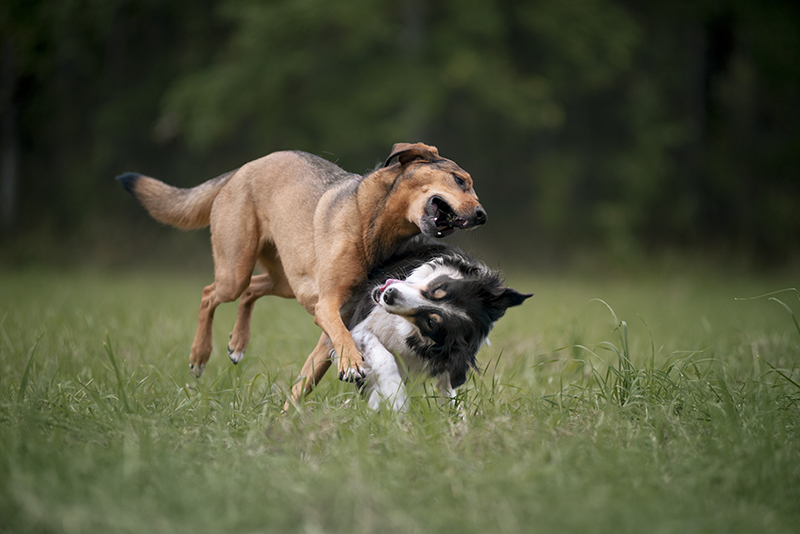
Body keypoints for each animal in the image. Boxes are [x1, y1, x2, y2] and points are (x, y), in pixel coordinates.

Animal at [115, 144, 484, 384]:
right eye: (460, 180)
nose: (482, 215)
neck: (372, 223)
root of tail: (244, 168)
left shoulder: (338, 305)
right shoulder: (328, 304)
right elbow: (340, 335)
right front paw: (351, 363)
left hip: (286, 280)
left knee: (251, 291)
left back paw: (238, 343)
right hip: (236, 269)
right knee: (210, 293)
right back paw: (199, 355)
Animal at [340, 241, 532, 412]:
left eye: (430, 323)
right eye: (440, 288)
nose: (389, 295)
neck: (405, 328)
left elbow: (451, 399)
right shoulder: (358, 330)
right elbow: (384, 358)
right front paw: (395, 395)